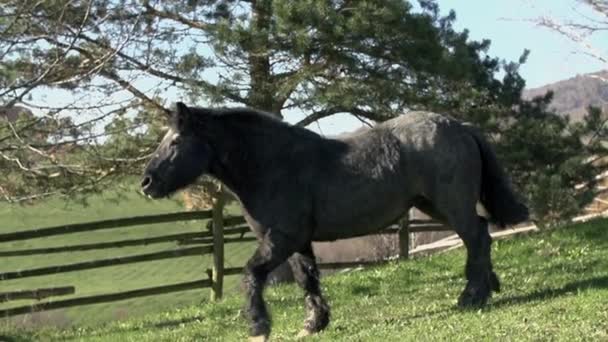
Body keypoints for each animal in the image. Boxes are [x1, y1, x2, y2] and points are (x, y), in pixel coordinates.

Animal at [141, 103, 528, 340]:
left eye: (176, 141)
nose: (146, 183)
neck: (272, 164)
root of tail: (459, 126)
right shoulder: (298, 242)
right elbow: (307, 279)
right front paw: (313, 323)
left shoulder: (280, 238)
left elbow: (252, 275)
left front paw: (259, 327)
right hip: (435, 207)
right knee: (480, 235)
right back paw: (488, 286)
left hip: (451, 205)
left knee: (477, 237)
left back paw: (472, 296)